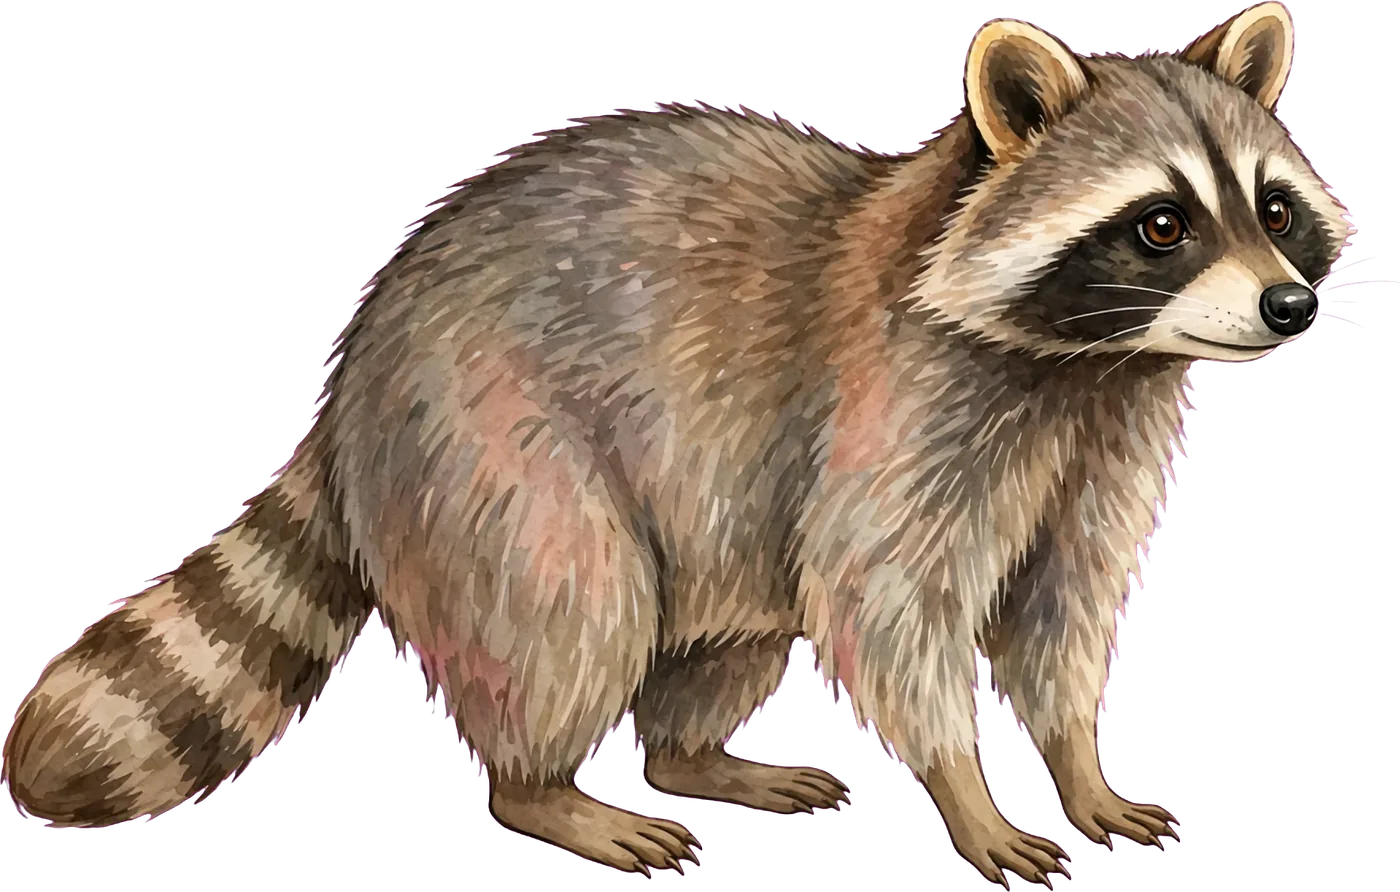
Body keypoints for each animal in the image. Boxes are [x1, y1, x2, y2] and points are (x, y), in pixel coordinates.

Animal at [3, 1, 1350, 885]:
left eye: (1273, 209)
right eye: (1160, 224)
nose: (1288, 304)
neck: (1084, 361)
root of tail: (354, 374)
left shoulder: (1102, 438)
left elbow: (1058, 610)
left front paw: (1078, 767)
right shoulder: (899, 410)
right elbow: (887, 607)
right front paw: (964, 789)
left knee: (721, 633)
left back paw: (694, 757)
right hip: (485, 447)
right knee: (566, 606)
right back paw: (548, 789)